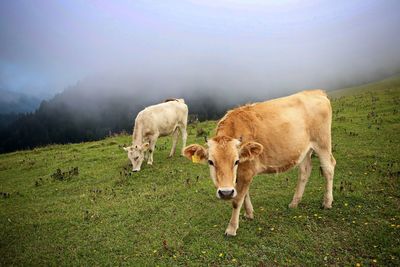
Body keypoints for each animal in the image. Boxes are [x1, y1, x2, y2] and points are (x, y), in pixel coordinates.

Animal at [183, 90, 336, 237]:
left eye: (236, 161)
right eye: (211, 162)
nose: (225, 193)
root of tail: (316, 92)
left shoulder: (247, 171)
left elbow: (237, 200)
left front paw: (231, 229)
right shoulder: (241, 174)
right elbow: (244, 194)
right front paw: (249, 214)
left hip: (322, 143)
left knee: (328, 168)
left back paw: (327, 202)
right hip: (304, 150)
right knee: (305, 171)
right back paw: (294, 203)